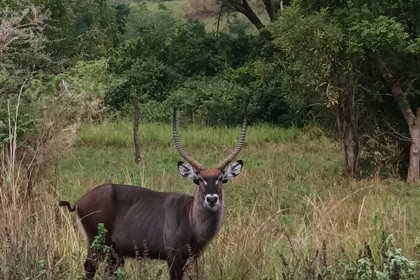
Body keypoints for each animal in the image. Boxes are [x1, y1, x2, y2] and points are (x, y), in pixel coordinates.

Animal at [60, 110, 248, 278]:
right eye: (199, 179)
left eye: (222, 179)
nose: (211, 199)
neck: (191, 218)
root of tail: (79, 201)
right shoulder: (173, 256)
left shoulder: (192, 258)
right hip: (96, 243)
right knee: (89, 267)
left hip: (114, 251)